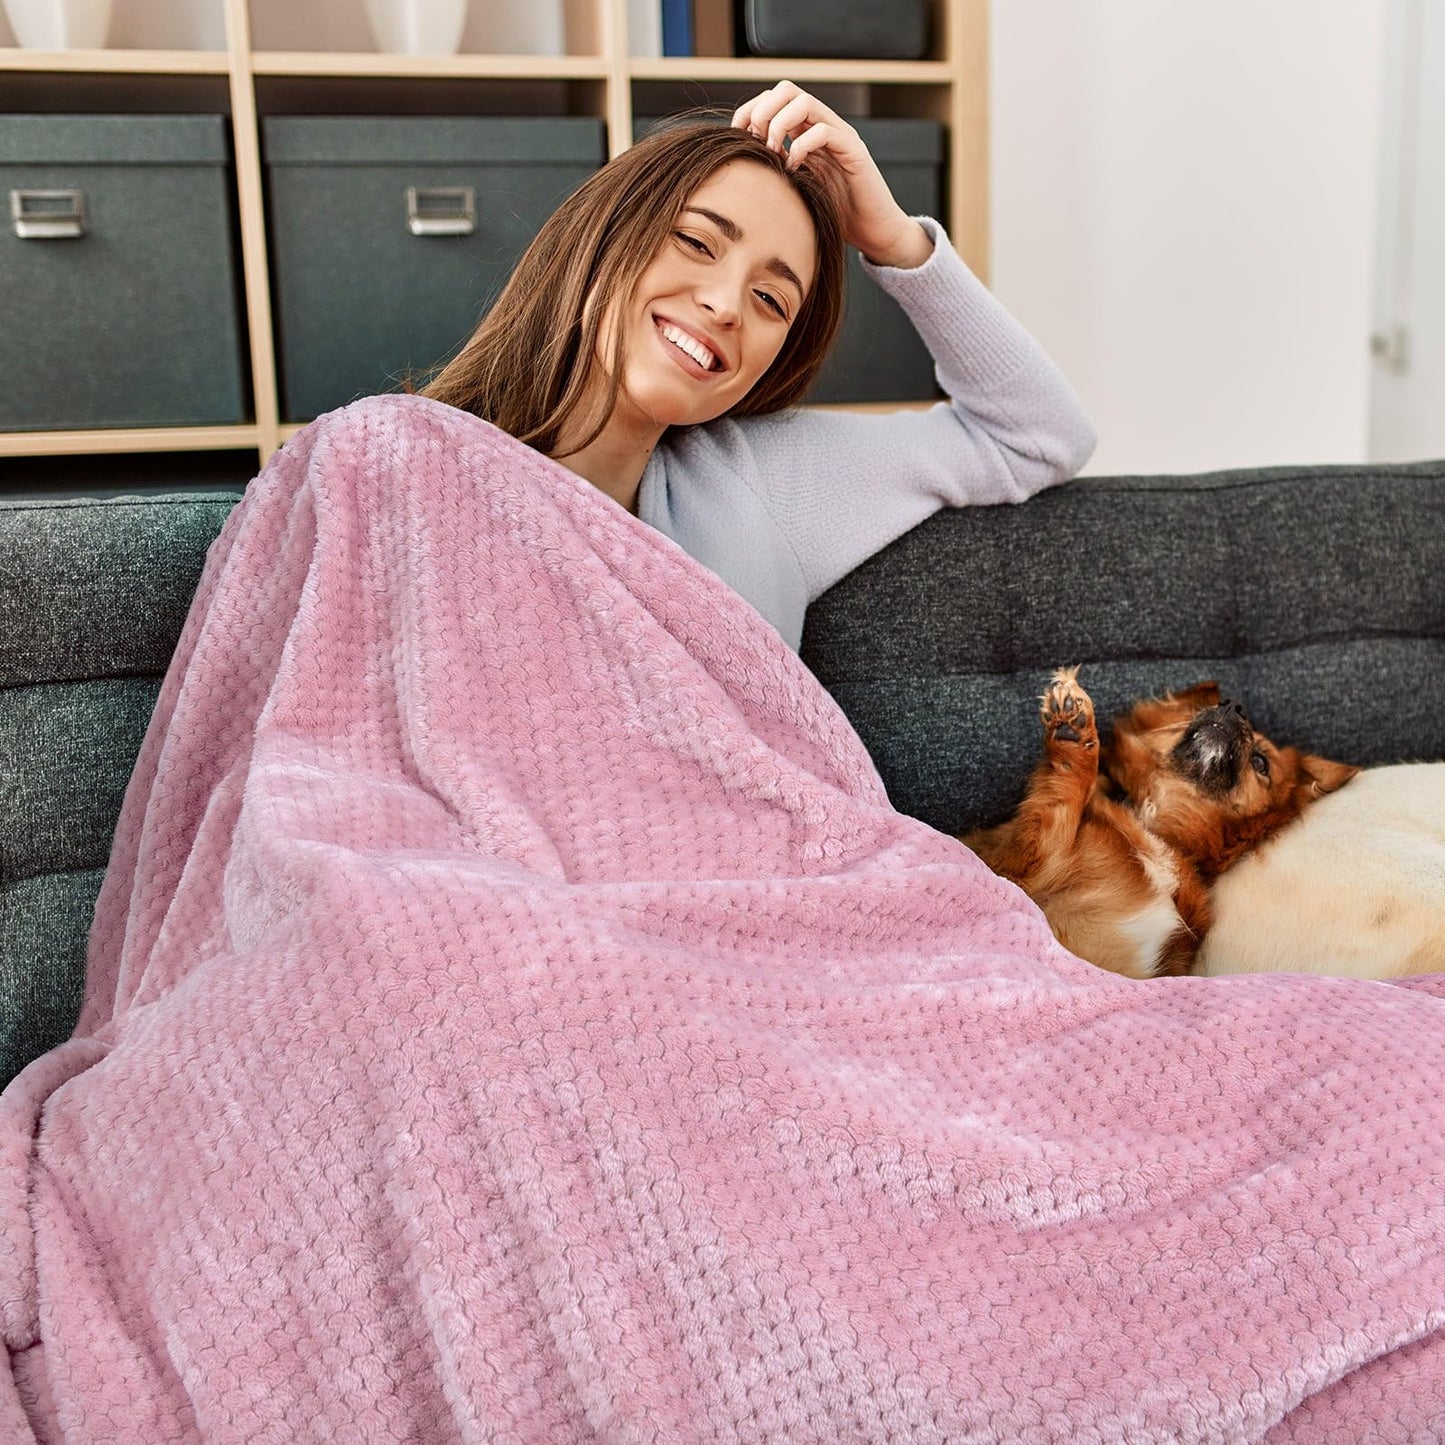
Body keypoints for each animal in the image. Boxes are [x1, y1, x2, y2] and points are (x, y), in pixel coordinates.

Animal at [965, 670, 1358, 976]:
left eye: (1261, 763)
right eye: (1204, 708)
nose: (1234, 706)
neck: (1152, 825)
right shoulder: (1017, 863)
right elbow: (1068, 793)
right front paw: (1073, 733)